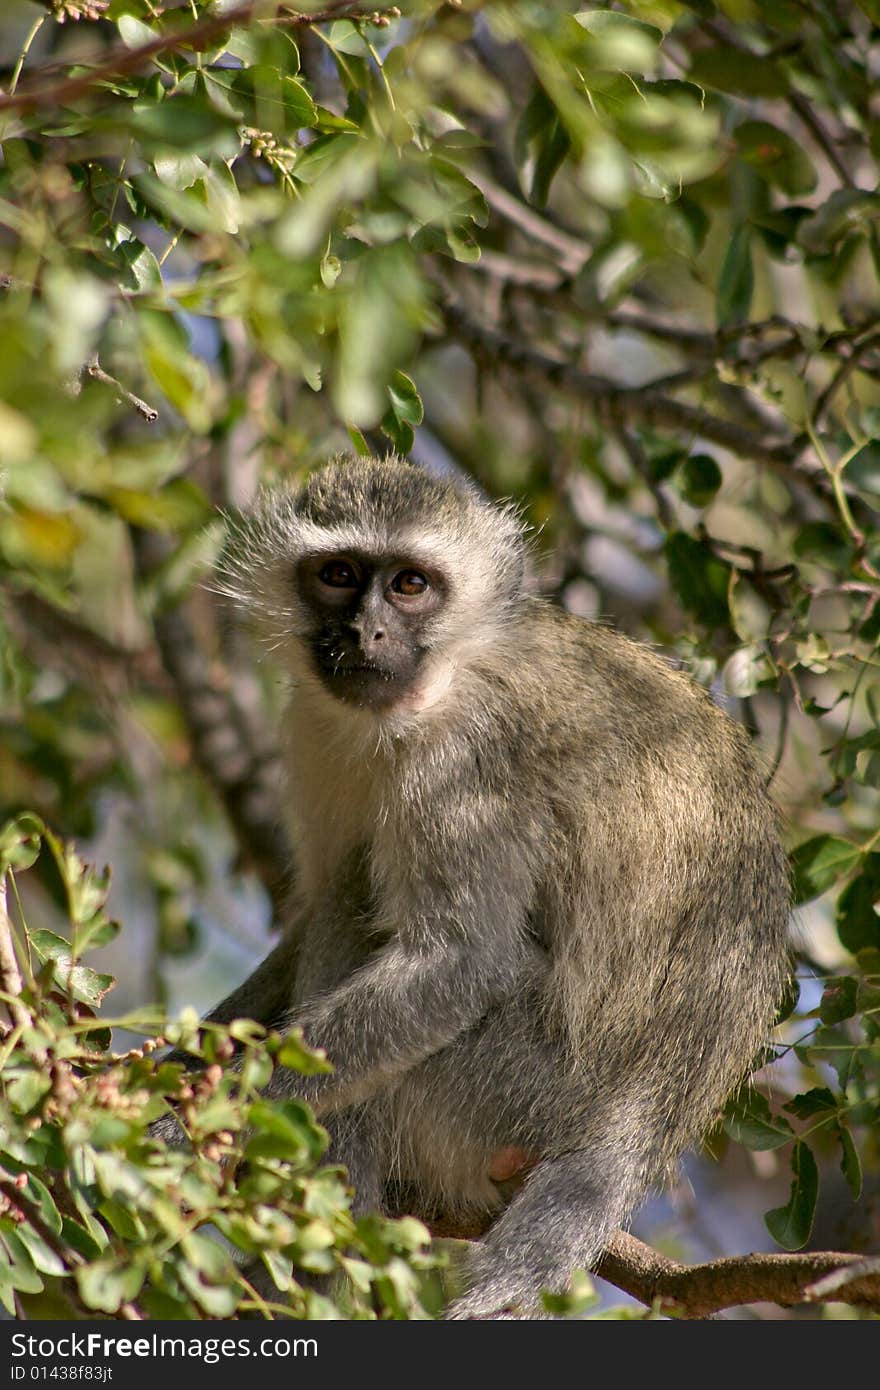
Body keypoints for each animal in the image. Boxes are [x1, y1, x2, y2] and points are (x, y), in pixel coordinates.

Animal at [173, 458, 789, 1323]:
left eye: (410, 585)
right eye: (338, 575)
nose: (364, 634)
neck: (435, 683)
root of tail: (654, 1108)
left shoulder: (462, 767)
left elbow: (464, 965)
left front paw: (195, 1117)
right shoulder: (316, 729)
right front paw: (175, 1062)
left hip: (508, 1093)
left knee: (360, 913)